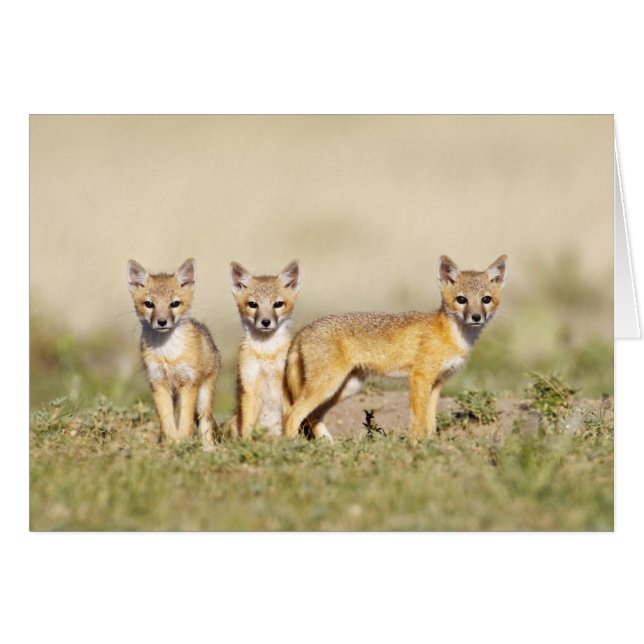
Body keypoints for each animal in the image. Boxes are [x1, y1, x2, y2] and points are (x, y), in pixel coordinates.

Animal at [127, 258, 221, 448]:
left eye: (174, 304)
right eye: (149, 304)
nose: (162, 322)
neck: (167, 354)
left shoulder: (189, 384)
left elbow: (184, 421)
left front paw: (182, 442)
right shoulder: (158, 384)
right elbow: (167, 421)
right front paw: (171, 443)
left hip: (203, 398)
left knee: (205, 423)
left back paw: (208, 448)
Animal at [227, 260, 301, 439]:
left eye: (278, 304)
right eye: (253, 305)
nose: (265, 322)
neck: (267, 352)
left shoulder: (286, 390)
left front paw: (291, 442)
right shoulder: (249, 389)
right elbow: (247, 427)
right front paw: (246, 443)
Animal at [283, 255, 507, 441]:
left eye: (486, 299)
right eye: (461, 300)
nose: (476, 317)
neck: (452, 335)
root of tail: (304, 329)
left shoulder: (437, 384)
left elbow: (430, 422)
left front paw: (431, 444)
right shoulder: (419, 378)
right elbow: (418, 420)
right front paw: (416, 445)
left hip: (346, 387)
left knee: (312, 416)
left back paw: (329, 446)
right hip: (328, 384)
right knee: (292, 414)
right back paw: (293, 446)